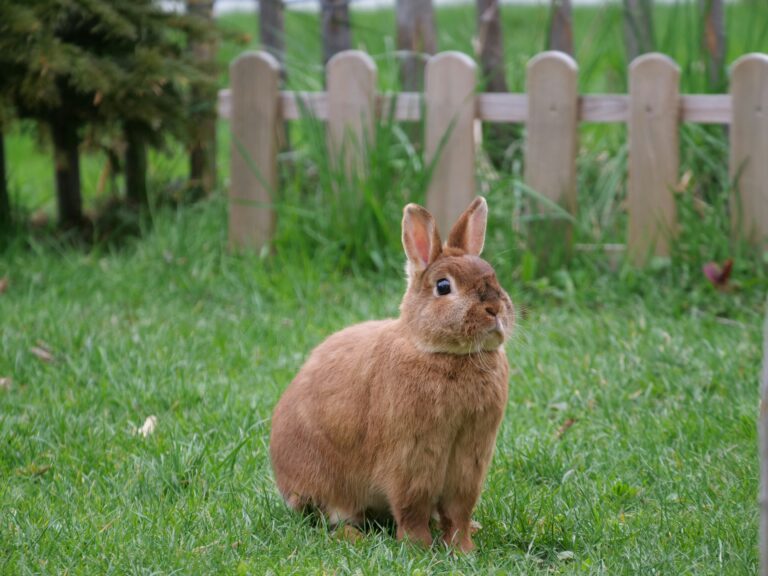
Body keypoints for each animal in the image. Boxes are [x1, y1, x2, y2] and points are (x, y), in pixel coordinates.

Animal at [268, 198, 512, 552]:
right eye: (443, 286)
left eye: (492, 275)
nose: (495, 308)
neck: (444, 354)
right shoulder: (411, 458)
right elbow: (412, 507)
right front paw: (419, 547)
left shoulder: (470, 460)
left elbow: (458, 511)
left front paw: (463, 549)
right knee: (330, 516)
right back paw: (352, 536)